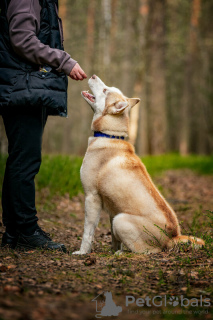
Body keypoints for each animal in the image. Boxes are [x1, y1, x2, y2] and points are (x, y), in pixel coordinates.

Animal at [72, 75, 204, 255]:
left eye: (105, 90)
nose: (92, 76)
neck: (109, 135)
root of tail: (173, 237)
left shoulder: (91, 197)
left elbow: (88, 232)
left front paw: (83, 252)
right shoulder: (113, 209)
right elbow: (114, 239)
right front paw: (112, 251)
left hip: (121, 220)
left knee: (147, 251)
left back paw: (124, 254)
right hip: (118, 216)